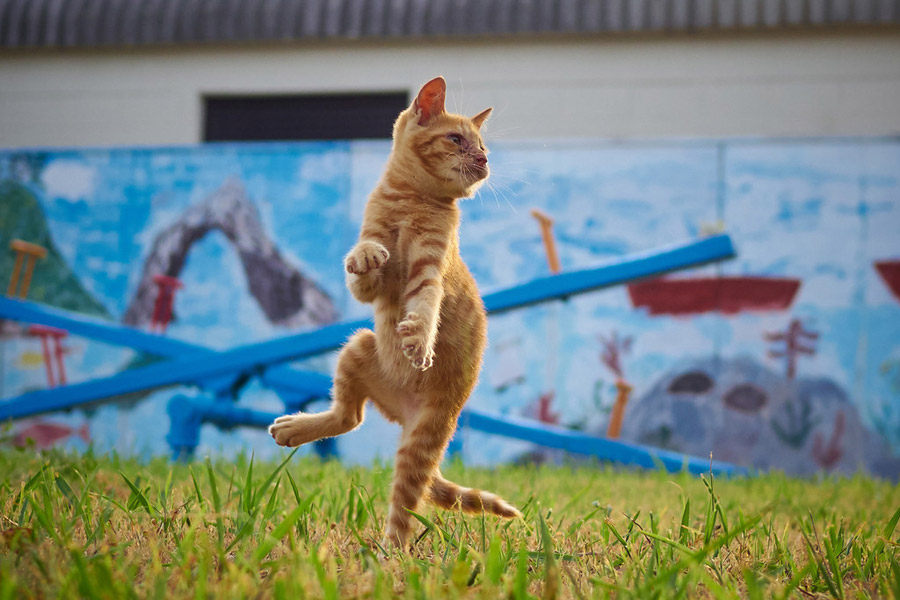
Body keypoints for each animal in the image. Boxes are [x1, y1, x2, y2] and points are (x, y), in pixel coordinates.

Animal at [268, 77, 520, 552]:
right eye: (456, 140)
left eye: (482, 147)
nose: (484, 161)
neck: (412, 200)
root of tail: (401, 411)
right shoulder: (372, 287)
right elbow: (367, 261)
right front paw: (367, 254)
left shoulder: (429, 271)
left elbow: (425, 306)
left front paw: (419, 339)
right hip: (358, 346)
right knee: (349, 417)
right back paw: (294, 429)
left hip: (422, 439)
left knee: (404, 505)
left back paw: (389, 553)